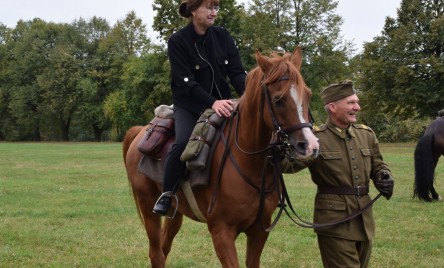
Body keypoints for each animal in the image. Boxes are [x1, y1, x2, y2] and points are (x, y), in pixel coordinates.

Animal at [121, 47, 320, 266]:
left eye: (308, 95)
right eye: (278, 99)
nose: (310, 146)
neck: (248, 163)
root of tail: (141, 131)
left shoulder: (259, 231)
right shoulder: (221, 232)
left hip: (176, 212)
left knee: (164, 249)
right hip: (149, 207)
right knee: (156, 253)